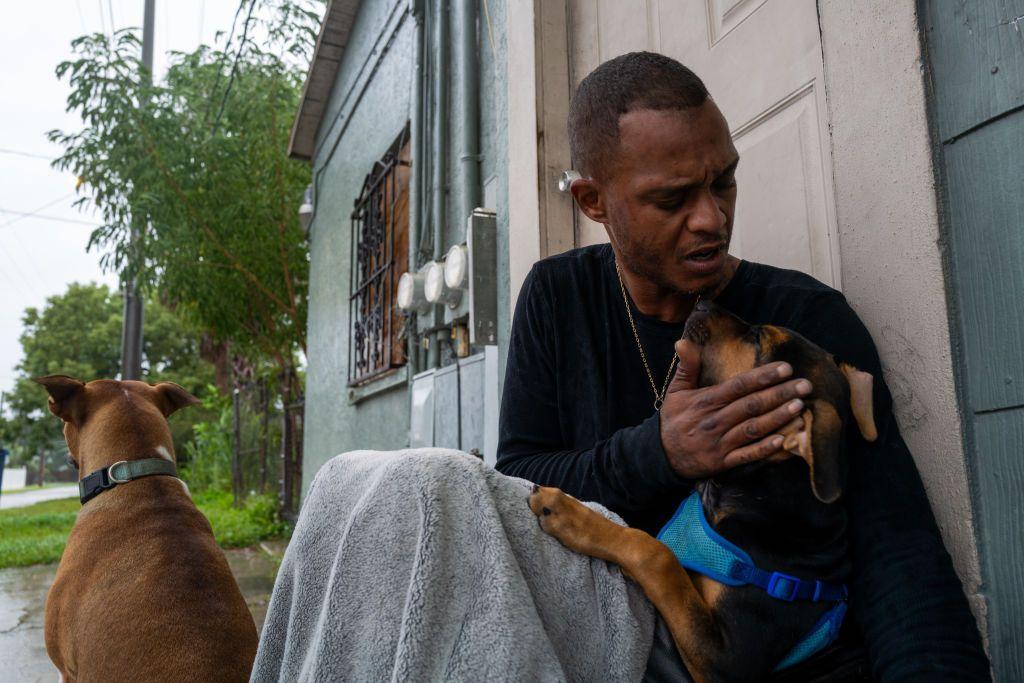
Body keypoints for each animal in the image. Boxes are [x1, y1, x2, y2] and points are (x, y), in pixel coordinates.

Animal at [532, 301, 876, 679]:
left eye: (757, 337)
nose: (703, 303)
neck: (758, 489)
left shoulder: (726, 660)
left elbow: (656, 553)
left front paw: (565, 512)